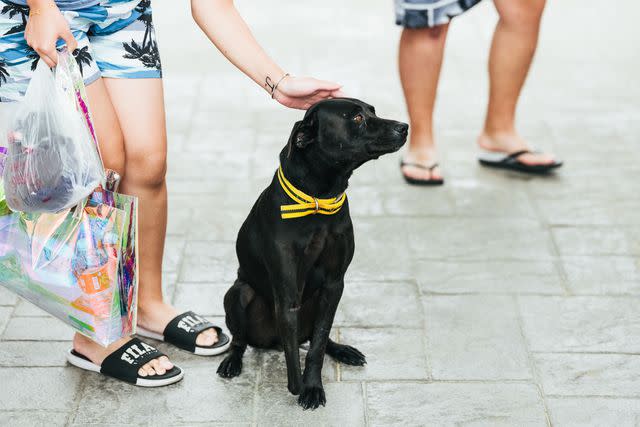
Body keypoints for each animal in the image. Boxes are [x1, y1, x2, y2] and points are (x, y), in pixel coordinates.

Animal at [218, 98, 408, 410]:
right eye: (356, 117)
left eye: (373, 111)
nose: (404, 127)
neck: (320, 197)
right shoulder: (287, 293)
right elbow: (294, 354)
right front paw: (299, 387)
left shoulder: (334, 285)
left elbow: (317, 344)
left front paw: (312, 386)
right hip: (237, 293)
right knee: (240, 340)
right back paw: (232, 362)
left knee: (321, 336)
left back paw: (344, 350)